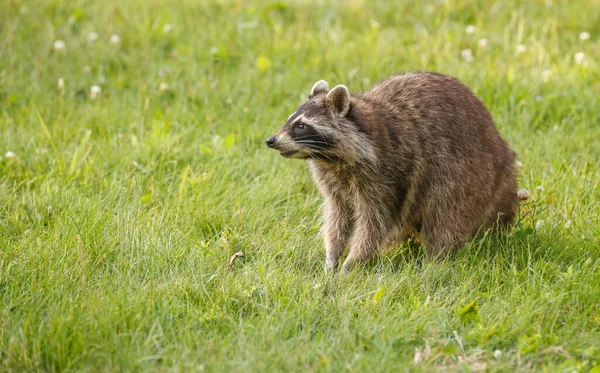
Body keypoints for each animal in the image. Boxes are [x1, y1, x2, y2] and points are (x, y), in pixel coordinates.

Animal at [264, 72, 516, 270]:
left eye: (301, 126)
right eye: (288, 120)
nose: (271, 140)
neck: (331, 159)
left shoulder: (387, 172)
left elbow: (375, 222)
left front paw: (352, 262)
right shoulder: (332, 179)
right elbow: (338, 215)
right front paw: (332, 255)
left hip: (469, 172)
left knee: (447, 212)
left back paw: (435, 261)